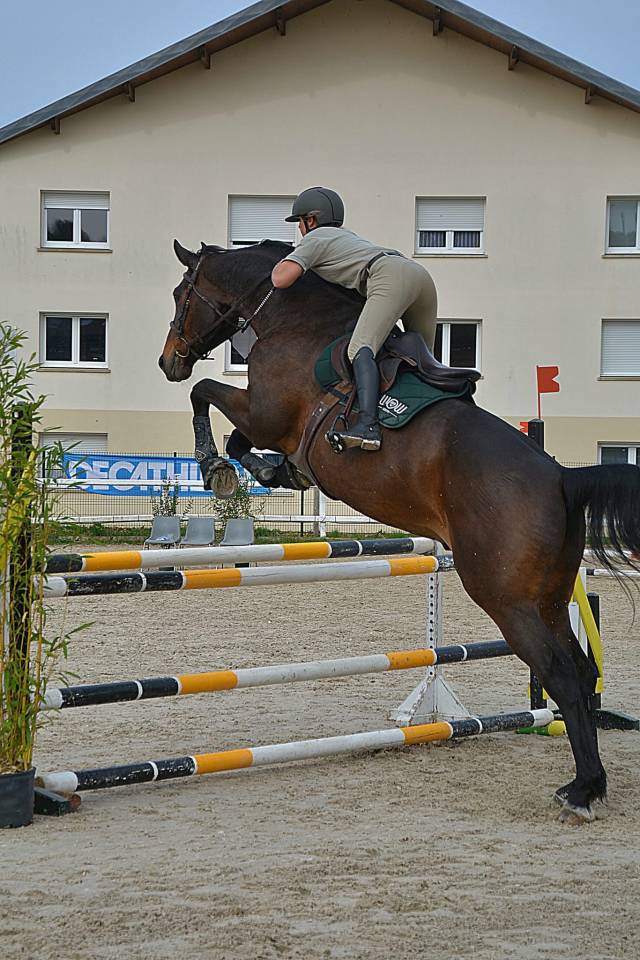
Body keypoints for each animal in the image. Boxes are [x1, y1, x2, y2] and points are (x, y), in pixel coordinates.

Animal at [159, 238, 640, 822]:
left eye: (180, 294)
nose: (168, 361)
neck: (293, 319)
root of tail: (564, 478)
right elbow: (235, 433)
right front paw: (274, 471)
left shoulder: (264, 413)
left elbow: (208, 397)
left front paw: (217, 469)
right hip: (545, 597)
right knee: (580, 669)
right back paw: (591, 778)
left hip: (507, 599)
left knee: (563, 674)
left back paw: (583, 789)